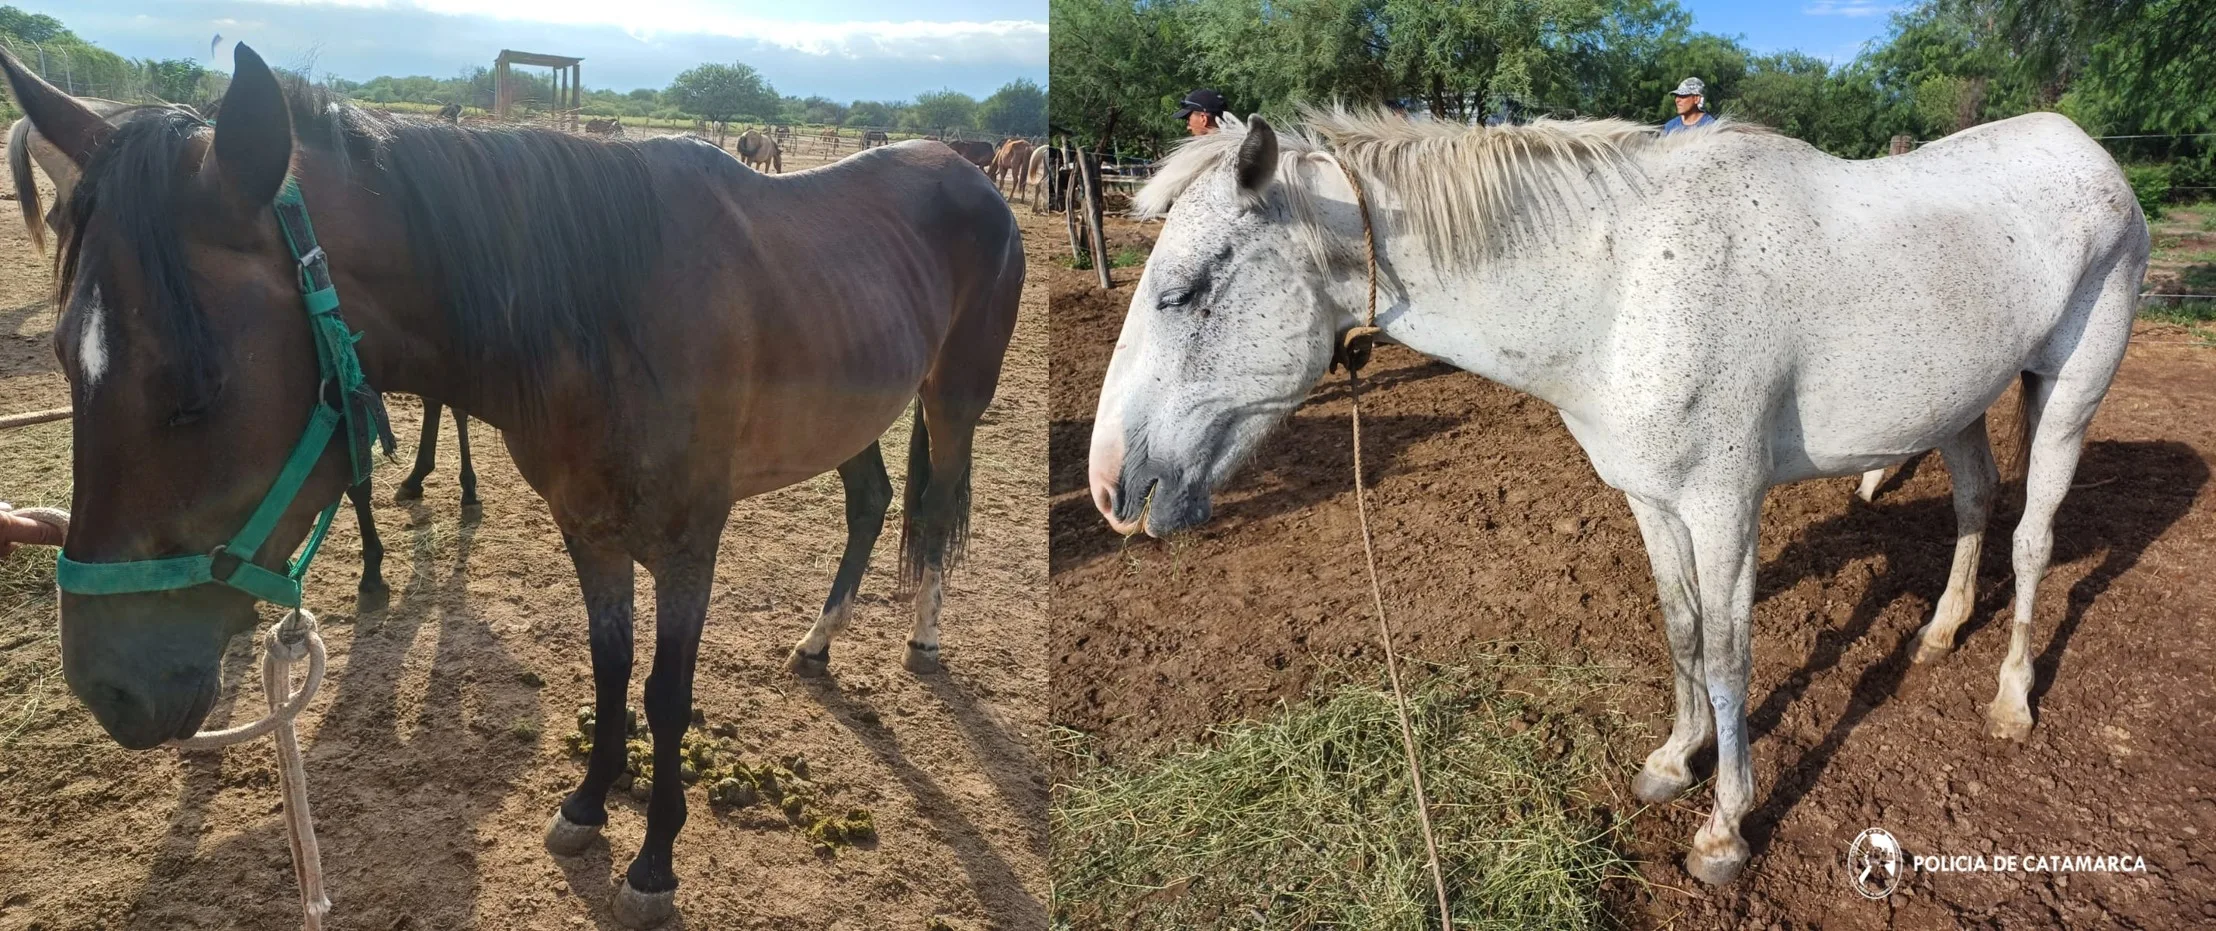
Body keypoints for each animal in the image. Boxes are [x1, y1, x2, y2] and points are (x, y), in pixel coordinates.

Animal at [4, 41, 1023, 922]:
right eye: (61, 356)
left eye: (194, 388)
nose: (109, 688)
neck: (612, 302)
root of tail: (974, 176)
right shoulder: (589, 527)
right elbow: (611, 668)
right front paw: (588, 804)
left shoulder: (690, 539)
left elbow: (665, 691)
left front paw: (654, 861)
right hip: (855, 411)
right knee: (872, 502)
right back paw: (819, 638)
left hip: (953, 397)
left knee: (937, 509)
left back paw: (923, 636)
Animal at [1090, 109, 2145, 886]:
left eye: (1182, 291)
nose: (1109, 486)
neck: (1629, 282)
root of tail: (2089, 153)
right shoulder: (1654, 499)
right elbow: (1680, 631)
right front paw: (1675, 762)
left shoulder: (1725, 504)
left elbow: (1728, 656)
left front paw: (1725, 827)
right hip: (1957, 402)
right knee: (1975, 503)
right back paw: (1939, 630)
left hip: (2067, 397)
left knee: (2033, 538)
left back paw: (2010, 700)